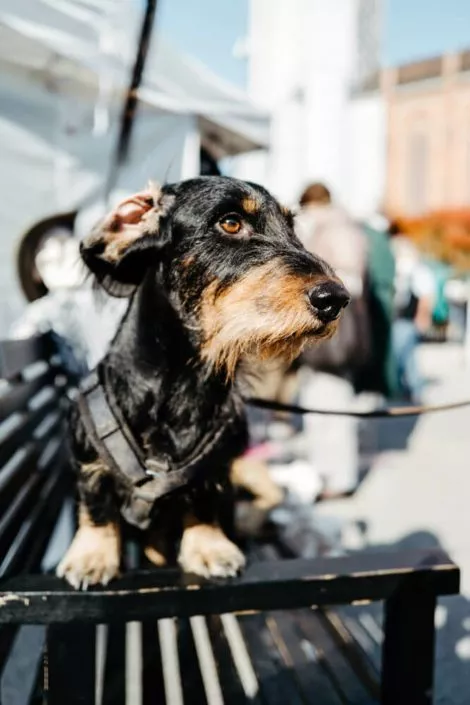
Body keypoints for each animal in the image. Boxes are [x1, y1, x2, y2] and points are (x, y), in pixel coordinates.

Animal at [56, 177, 348, 588]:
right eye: (230, 222)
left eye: (292, 226)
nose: (336, 298)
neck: (184, 379)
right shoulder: (87, 457)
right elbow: (97, 506)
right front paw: (92, 557)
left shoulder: (218, 470)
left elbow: (204, 505)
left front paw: (210, 548)